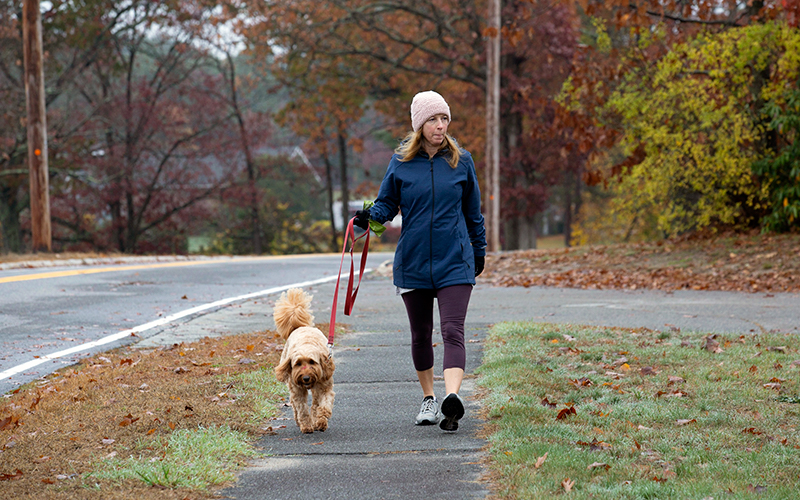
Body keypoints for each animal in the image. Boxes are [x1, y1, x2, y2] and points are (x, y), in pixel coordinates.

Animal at [272, 290, 334, 434]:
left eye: (312, 362)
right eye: (298, 364)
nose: (306, 378)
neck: (306, 344)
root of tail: (300, 327)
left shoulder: (324, 385)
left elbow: (324, 404)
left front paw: (321, 420)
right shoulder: (298, 390)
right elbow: (302, 409)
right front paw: (306, 426)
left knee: (315, 403)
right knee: (295, 405)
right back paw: (298, 420)